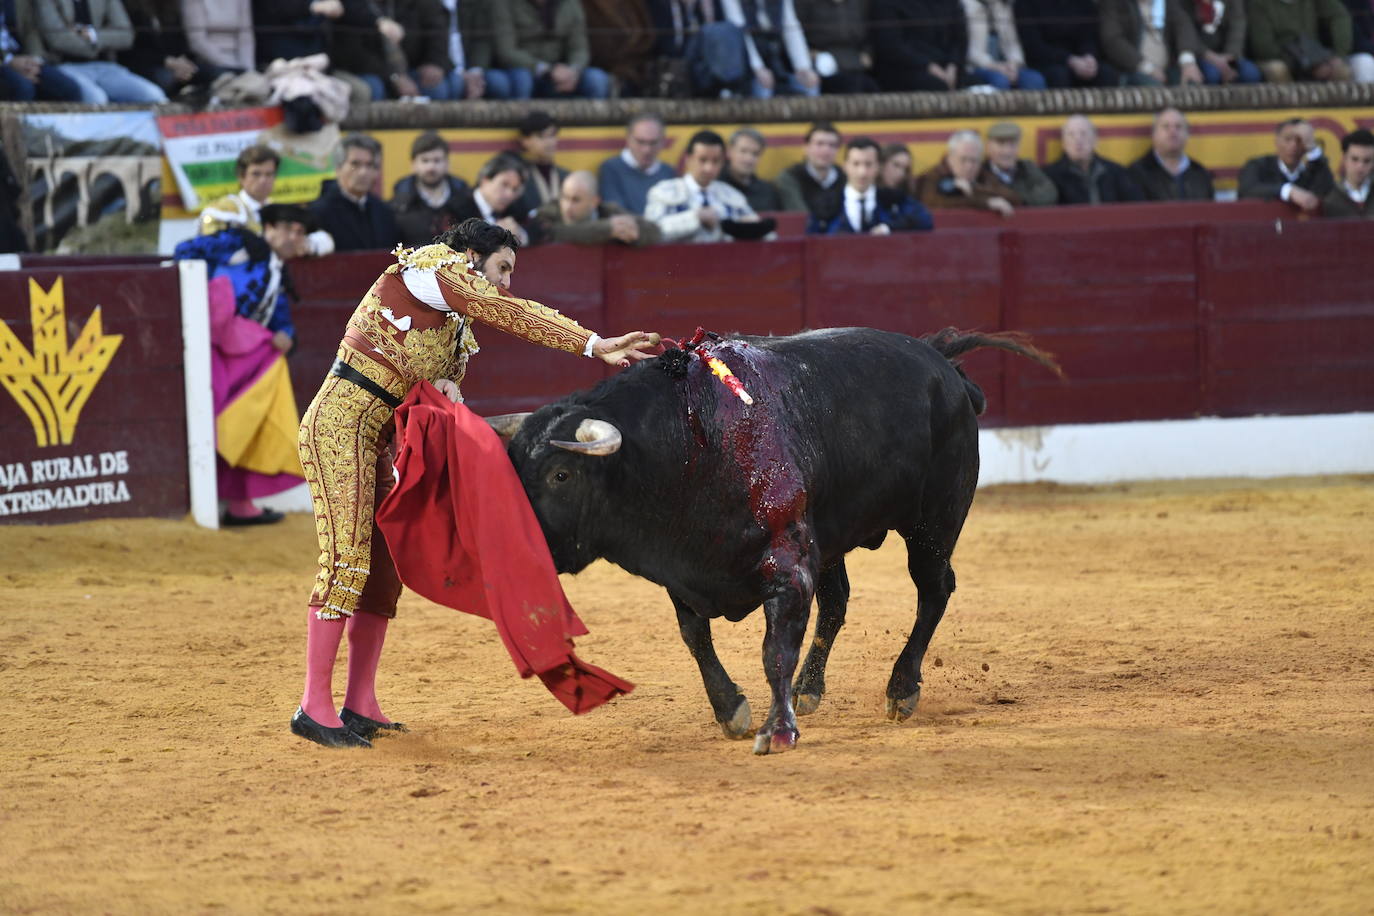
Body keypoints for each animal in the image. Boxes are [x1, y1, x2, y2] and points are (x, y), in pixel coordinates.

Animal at [500, 325, 1055, 758]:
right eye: (514, 468)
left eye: (561, 474)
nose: (519, 545)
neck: (690, 441)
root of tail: (940, 359)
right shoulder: (685, 572)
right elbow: (696, 638)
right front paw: (732, 710)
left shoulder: (788, 567)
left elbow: (775, 650)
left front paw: (778, 730)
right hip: (833, 536)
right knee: (838, 602)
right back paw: (810, 690)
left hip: (934, 522)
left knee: (933, 590)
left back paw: (901, 690)